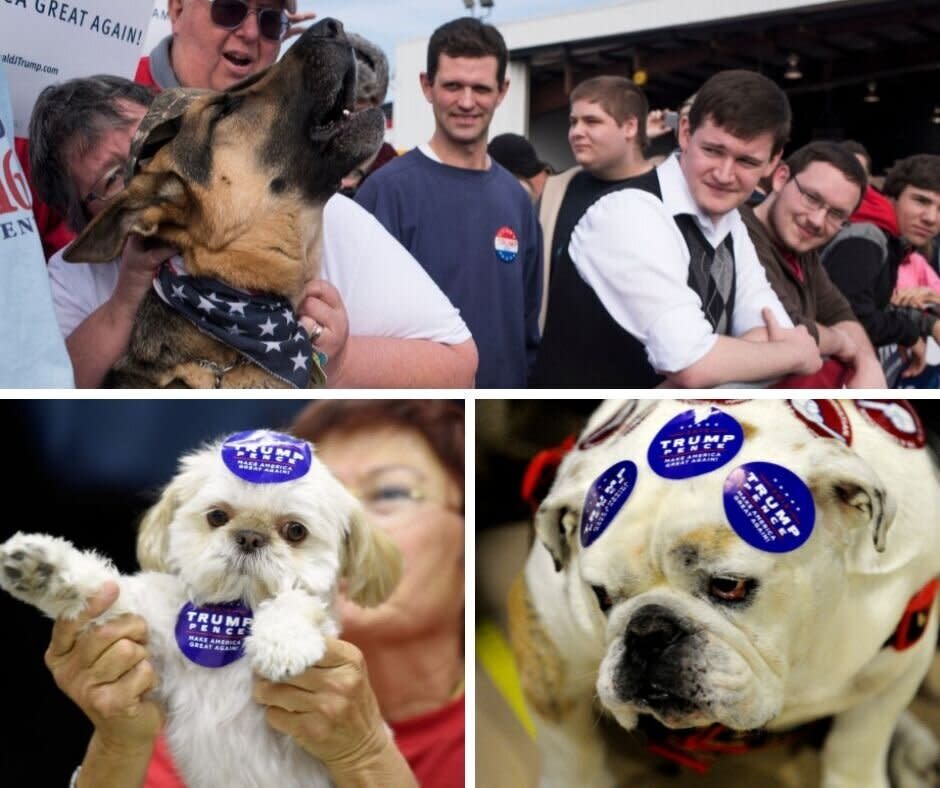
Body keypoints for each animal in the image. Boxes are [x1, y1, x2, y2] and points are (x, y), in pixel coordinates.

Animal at [0, 430, 400, 788]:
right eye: (217, 516)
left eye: (296, 531)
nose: (250, 537)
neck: (232, 618)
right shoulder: (155, 644)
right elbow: (110, 594)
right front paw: (45, 571)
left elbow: (296, 602)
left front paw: (283, 642)